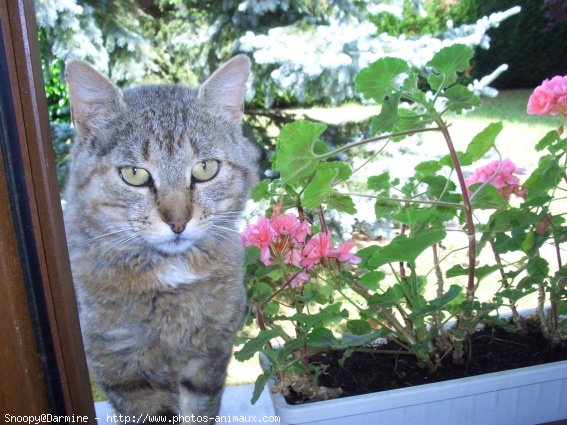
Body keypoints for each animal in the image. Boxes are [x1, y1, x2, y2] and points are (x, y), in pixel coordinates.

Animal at [63, 53, 258, 420]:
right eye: (134, 174)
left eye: (205, 168)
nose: (178, 222)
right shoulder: (125, 370)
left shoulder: (209, 355)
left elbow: (200, 409)